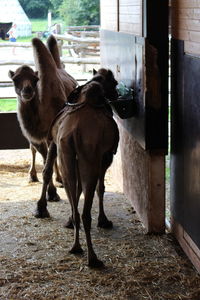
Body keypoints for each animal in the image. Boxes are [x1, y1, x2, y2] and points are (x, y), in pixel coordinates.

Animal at [9, 35, 77, 204]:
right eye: (15, 79)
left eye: (35, 79)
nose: (27, 91)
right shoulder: (35, 137)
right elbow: (44, 158)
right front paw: (51, 193)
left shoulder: (52, 134)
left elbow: (48, 163)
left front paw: (51, 193)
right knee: (36, 151)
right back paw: (33, 176)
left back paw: (60, 179)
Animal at [35, 68, 119, 268]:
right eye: (114, 83)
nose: (117, 95)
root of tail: (74, 133)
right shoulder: (105, 156)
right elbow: (101, 188)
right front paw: (104, 220)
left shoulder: (56, 145)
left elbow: (52, 174)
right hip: (90, 158)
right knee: (87, 208)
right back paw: (93, 257)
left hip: (65, 153)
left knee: (67, 189)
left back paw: (74, 244)